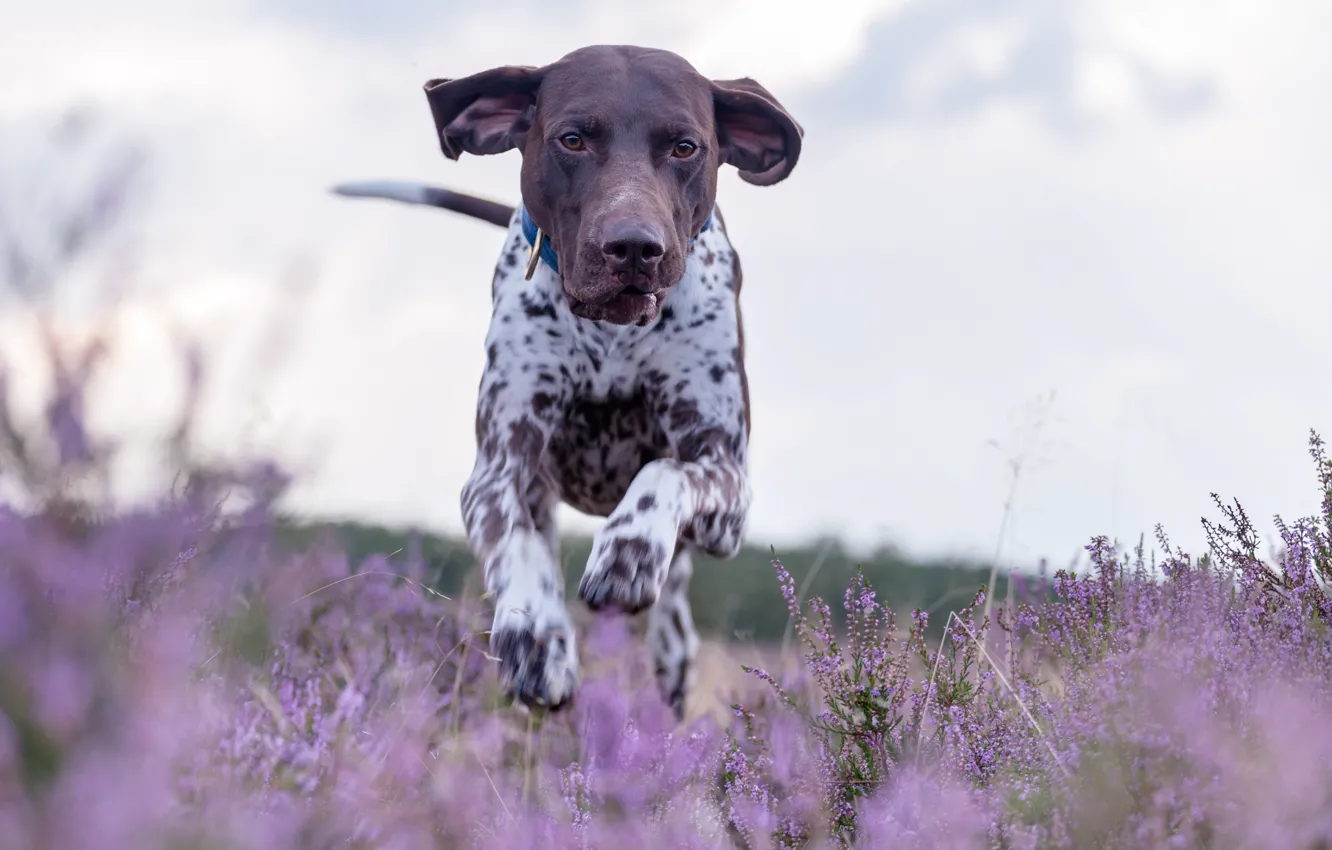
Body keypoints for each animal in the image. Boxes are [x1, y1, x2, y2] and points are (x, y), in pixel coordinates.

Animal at [338, 44, 804, 719]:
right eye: (573, 139)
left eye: (685, 147)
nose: (633, 247)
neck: (612, 333)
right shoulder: (498, 473)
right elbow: (519, 549)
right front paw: (535, 641)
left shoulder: (728, 489)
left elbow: (666, 473)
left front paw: (627, 554)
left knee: (674, 602)